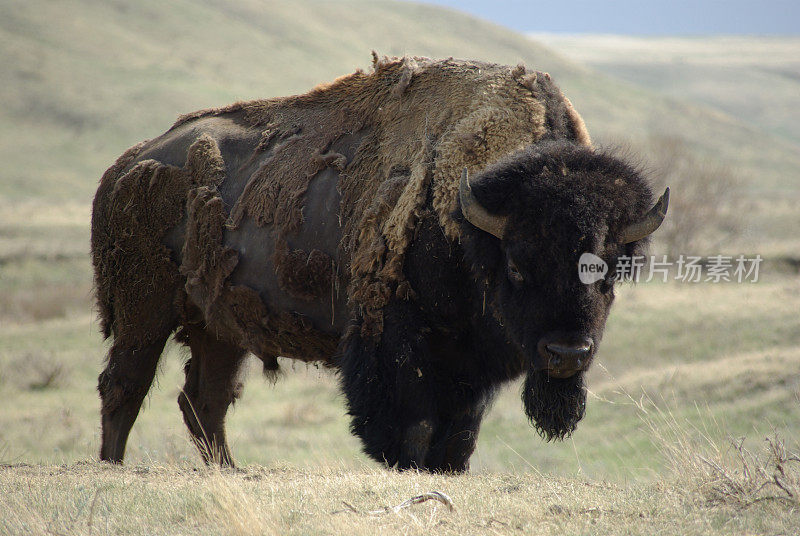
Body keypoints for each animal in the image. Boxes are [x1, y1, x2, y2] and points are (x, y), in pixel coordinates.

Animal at [92, 54, 668, 472]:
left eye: (609, 271)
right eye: (518, 266)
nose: (567, 353)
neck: (473, 223)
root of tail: (129, 162)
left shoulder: (468, 368)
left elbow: (458, 438)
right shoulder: (396, 342)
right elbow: (413, 427)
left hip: (220, 326)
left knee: (204, 401)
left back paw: (230, 471)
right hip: (144, 311)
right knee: (125, 385)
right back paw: (113, 467)